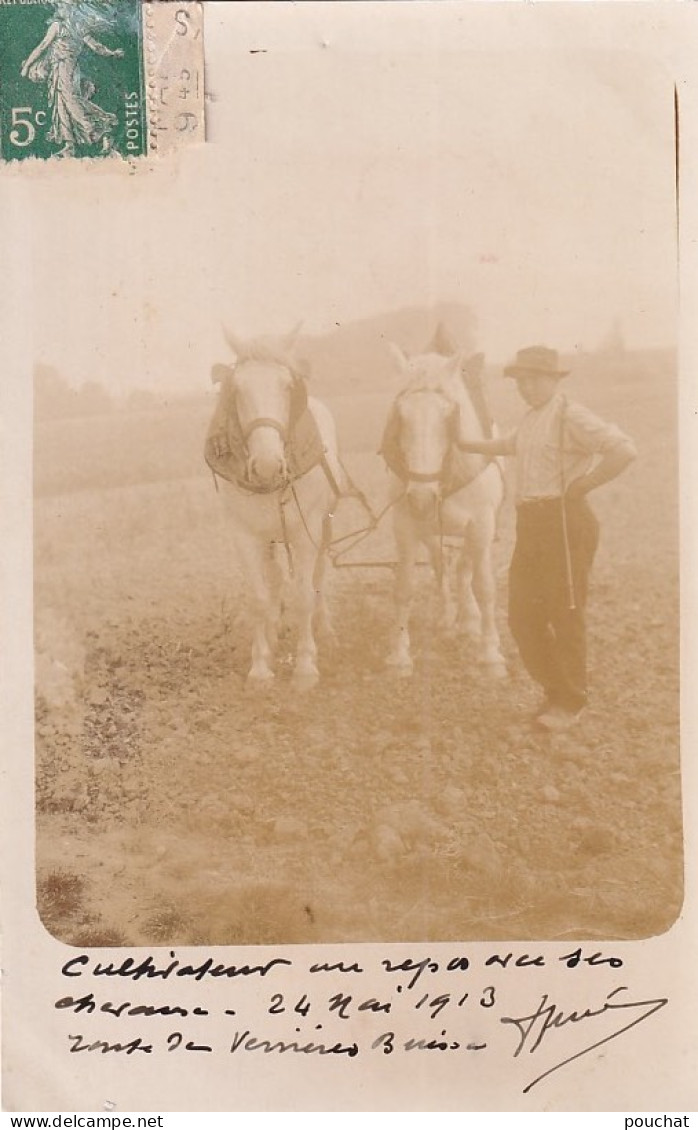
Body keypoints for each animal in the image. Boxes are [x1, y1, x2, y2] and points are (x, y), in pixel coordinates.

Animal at [206, 327, 343, 687]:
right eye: (237, 390)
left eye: (287, 386)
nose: (267, 465)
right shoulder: (245, 535)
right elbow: (259, 598)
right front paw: (260, 666)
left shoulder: (306, 532)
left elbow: (304, 595)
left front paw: (306, 666)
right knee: (275, 579)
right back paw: (273, 630)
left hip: (323, 525)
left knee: (318, 578)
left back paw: (325, 630)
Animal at [379, 343, 505, 678]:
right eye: (401, 415)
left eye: (448, 416)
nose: (422, 497)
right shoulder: (406, 526)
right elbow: (405, 588)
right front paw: (399, 656)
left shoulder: (481, 525)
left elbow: (484, 587)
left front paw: (491, 655)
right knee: (442, 567)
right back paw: (449, 618)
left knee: (465, 568)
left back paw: (471, 621)